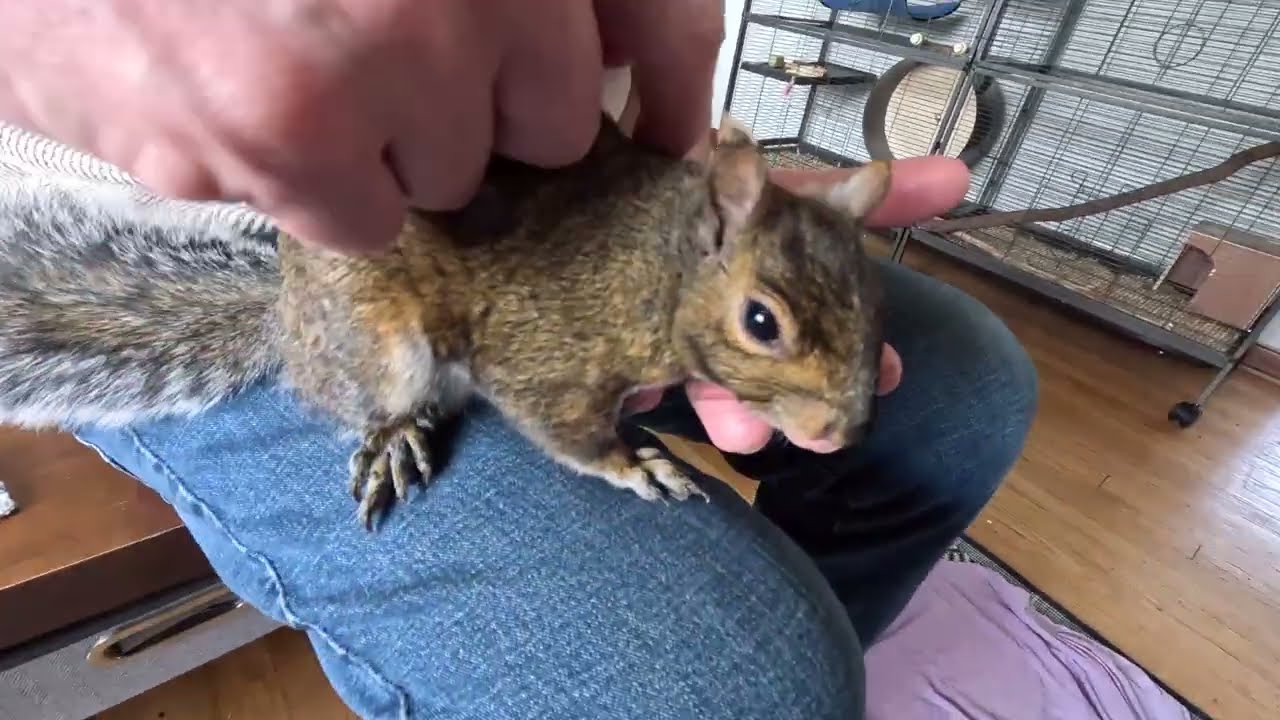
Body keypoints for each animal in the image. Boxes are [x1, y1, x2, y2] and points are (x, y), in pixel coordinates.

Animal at [0, 113, 889, 529]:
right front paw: (636, 465)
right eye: (762, 321)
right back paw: (395, 438)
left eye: (873, 298)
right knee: (375, 400)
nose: (841, 433)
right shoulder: (547, 349)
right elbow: (566, 430)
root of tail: (287, 322)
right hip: (380, 339)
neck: (659, 270)